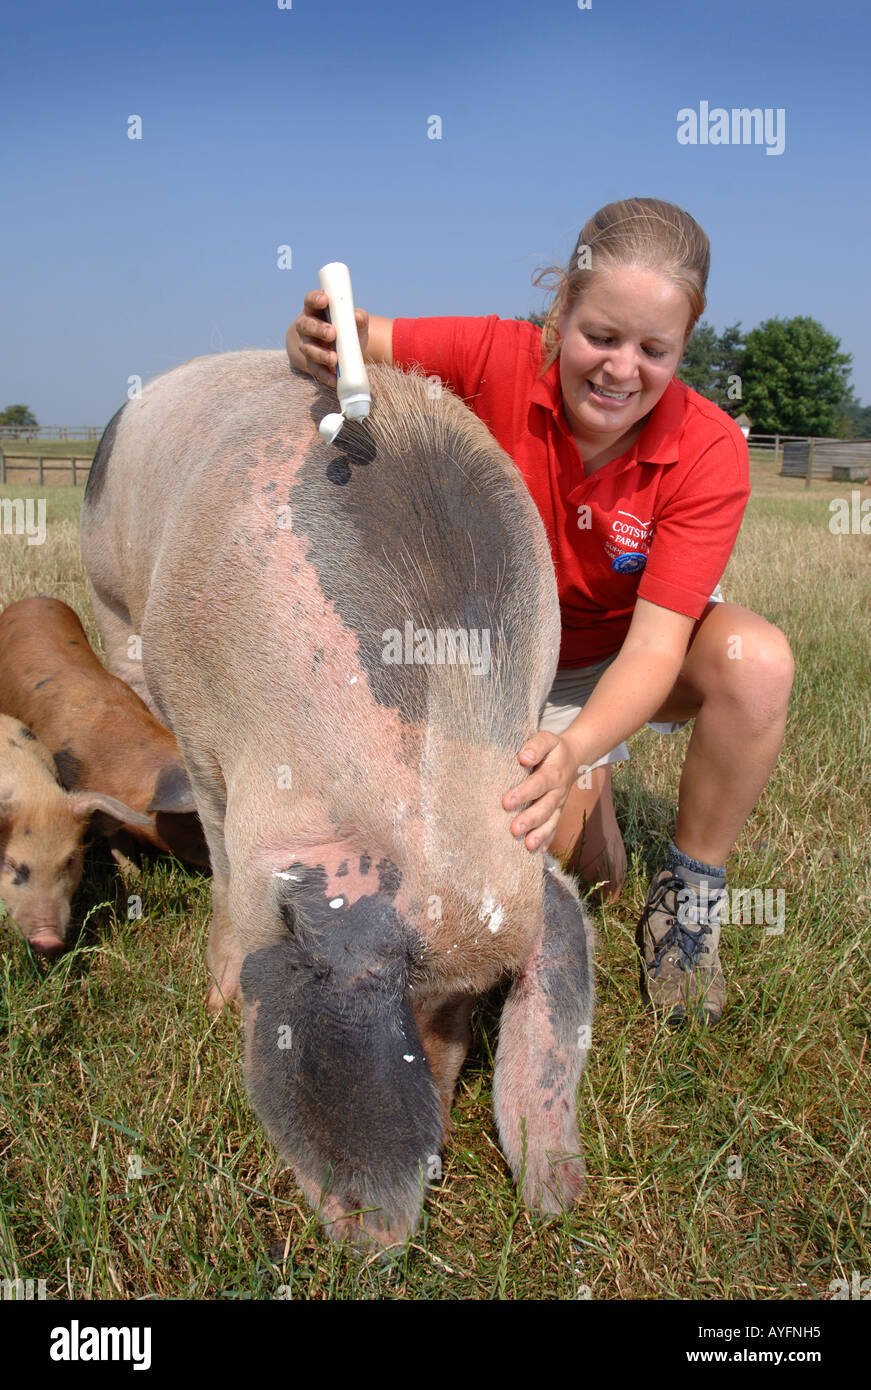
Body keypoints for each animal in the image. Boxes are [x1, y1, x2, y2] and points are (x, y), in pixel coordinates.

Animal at [81, 350, 597, 1251]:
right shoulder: (210, 750)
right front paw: (218, 998)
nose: (437, 1144)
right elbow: (224, 867)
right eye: (408, 993)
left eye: (472, 1005)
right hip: (113, 598)